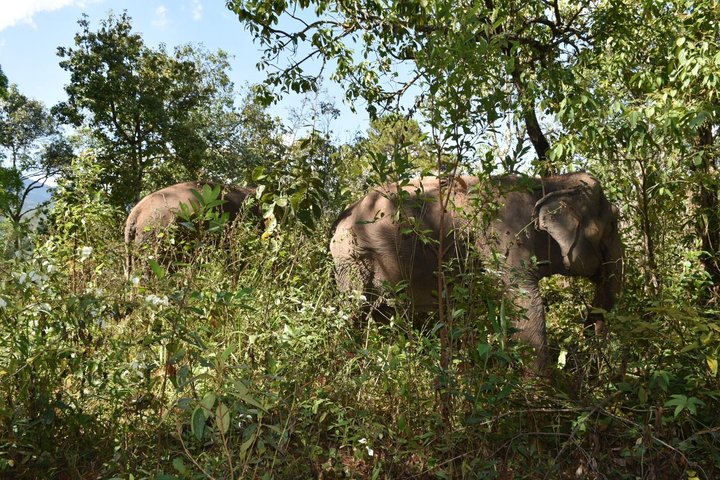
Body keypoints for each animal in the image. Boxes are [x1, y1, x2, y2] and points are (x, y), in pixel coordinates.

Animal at [329, 172, 623, 369]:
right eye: (613, 224)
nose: (589, 366)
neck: (549, 182)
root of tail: (341, 217)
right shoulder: (504, 234)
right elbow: (523, 298)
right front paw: (541, 398)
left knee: (378, 315)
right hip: (352, 259)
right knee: (353, 312)